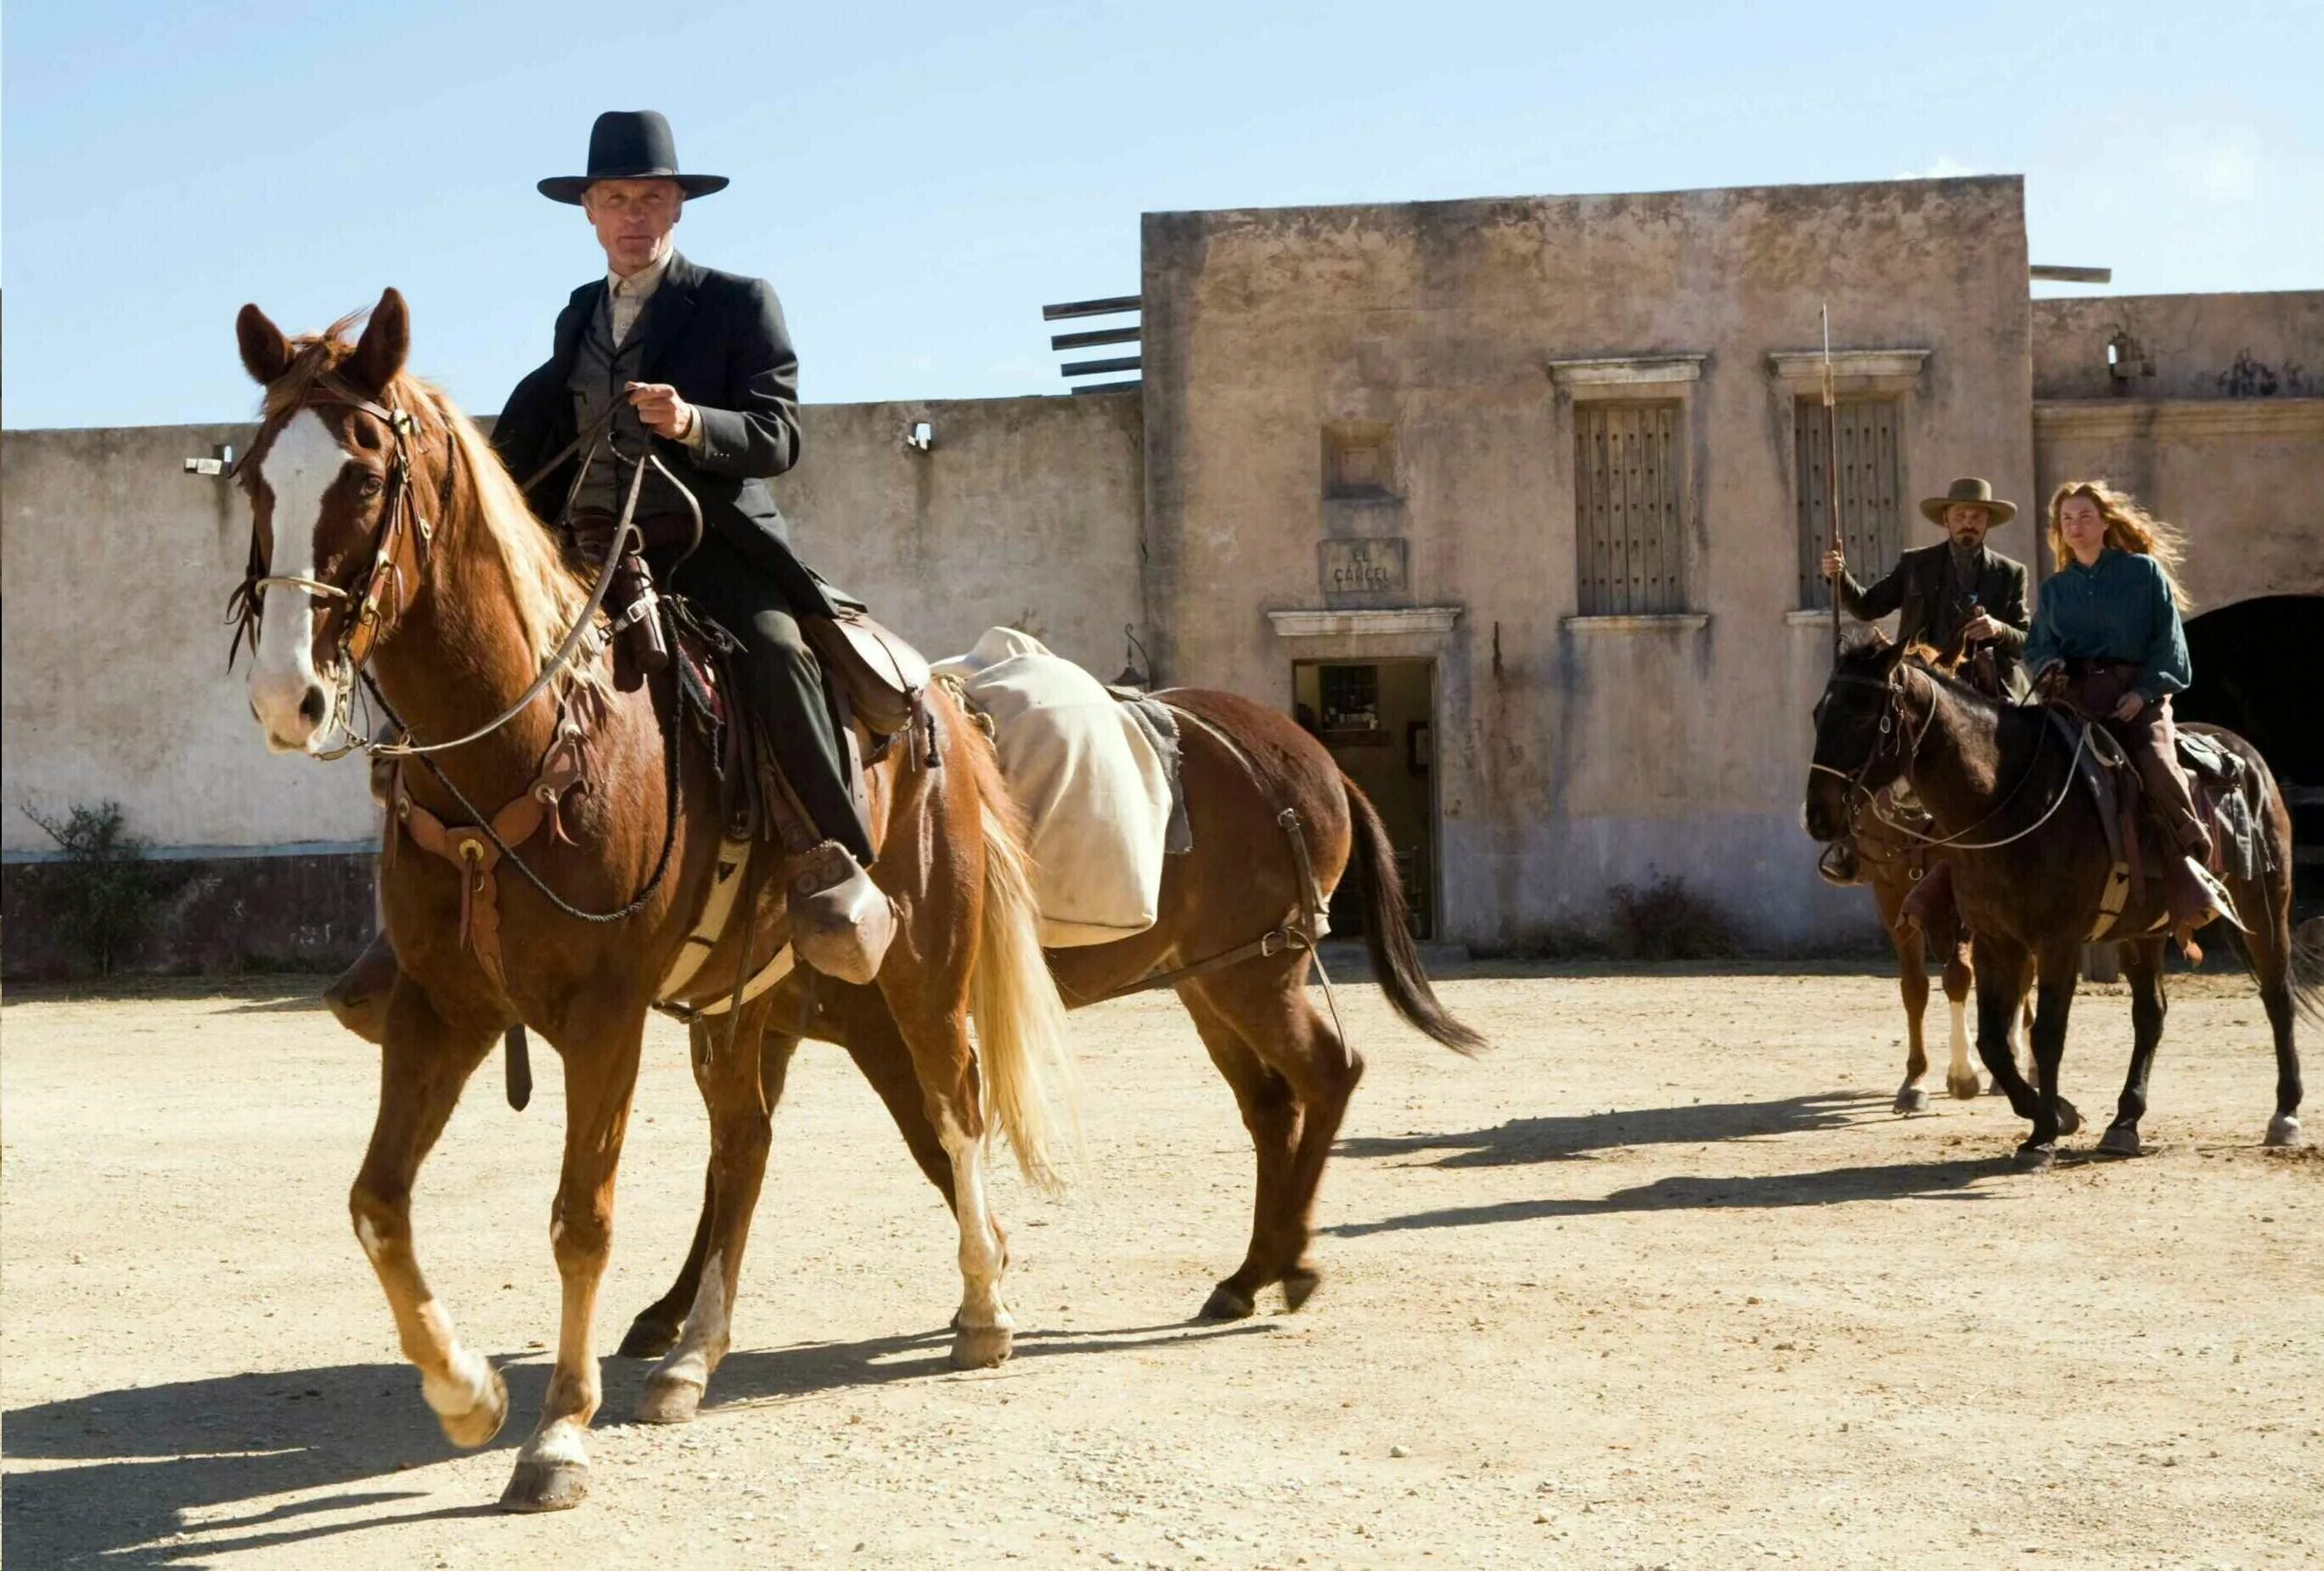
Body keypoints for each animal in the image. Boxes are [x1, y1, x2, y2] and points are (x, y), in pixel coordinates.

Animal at [231, 291, 1073, 1506]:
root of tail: (945, 703)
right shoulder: (444, 1008)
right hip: (743, 999)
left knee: (952, 1106)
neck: (529, 739)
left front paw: (557, 1434)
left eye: (366, 469)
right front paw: (466, 1390)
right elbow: (377, 1201)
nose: (284, 697)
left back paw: (982, 1307)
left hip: (922, 968)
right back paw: (690, 1356)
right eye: (255, 475)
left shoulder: (605, 1014)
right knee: (746, 1144)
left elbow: (581, 1215)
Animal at [1803, 636, 2315, 1166]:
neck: (2006, 798)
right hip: (2145, 930)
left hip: (2265, 902)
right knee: (2150, 1015)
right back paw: (2125, 1122)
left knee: (2276, 995)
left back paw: (2285, 1113)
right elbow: (1991, 1038)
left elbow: (2047, 1033)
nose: (1818, 815)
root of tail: (2246, 755)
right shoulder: (1994, 939)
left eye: (1864, 713)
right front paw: (2052, 1113)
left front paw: (2044, 1131)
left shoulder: (2057, 941)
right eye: (1819, 713)